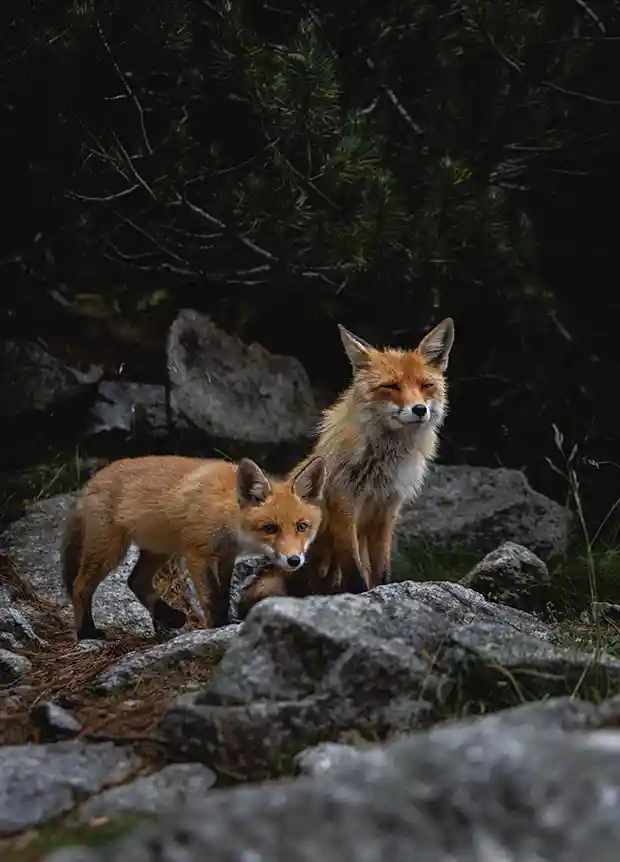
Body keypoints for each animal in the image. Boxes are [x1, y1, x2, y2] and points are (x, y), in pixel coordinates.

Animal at [60, 452, 326, 640]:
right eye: (269, 528)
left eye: (301, 526)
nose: (294, 560)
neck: (225, 513)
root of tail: (90, 482)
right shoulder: (197, 553)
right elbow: (211, 598)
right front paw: (217, 627)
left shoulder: (226, 557)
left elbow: (223, 595)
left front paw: (223, 623)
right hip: (110, 550)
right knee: (80, 586)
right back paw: (86, 632)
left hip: (160, 550)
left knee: (135, 581)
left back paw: (168, 615)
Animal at [235, 318, 452, 616]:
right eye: (391, 386)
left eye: (426, 385)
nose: (419, 409)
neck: (383, 464)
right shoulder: (344, 506)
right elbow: (355, 571)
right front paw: (360, 598)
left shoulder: (386, 510)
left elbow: (381, 570)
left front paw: (385, 592)